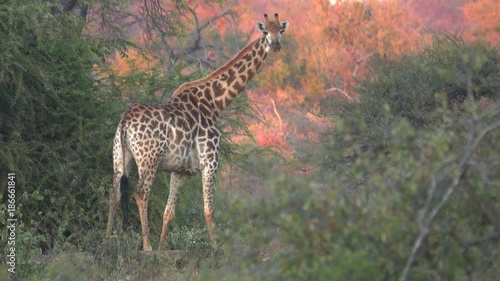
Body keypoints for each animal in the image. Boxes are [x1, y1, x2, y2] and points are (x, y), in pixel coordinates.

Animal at [107, 13, 292, 250]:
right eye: (265, 32)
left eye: (281, 30)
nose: (275, 45)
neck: (214, 103)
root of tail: (125, 122)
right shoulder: (210, 161)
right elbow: (209, 211)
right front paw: (215, 249)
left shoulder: (180, 171)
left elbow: (169, 213)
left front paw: (162, 250)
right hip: (149, 159)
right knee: (140, 194)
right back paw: (146, 247)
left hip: (121, 157)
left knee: (114, 194)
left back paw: (107, 240)